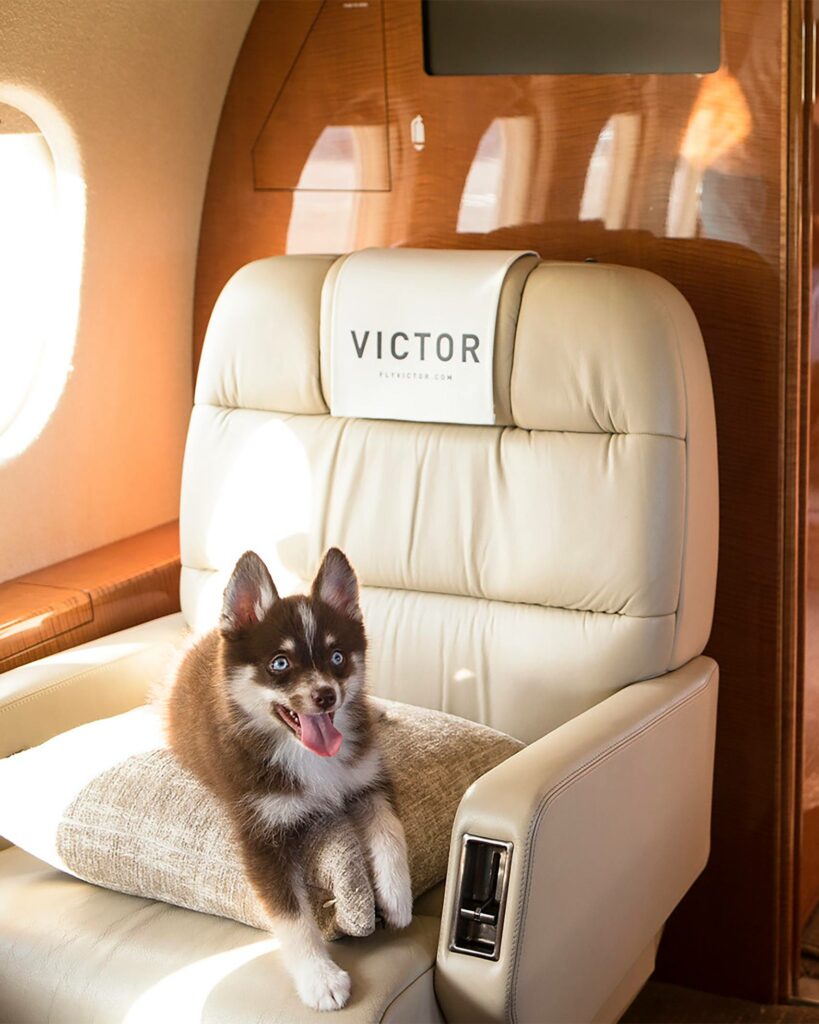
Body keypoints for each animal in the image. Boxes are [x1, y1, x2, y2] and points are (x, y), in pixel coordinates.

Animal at [163, 548, 413, 1011]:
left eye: (337, 657)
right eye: (280, 664)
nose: (326, 696)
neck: (307, 756)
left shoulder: (368, 776)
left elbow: (390, 829)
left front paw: (397, 896)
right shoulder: (259, 834)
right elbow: (292, 915)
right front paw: (320, 978)